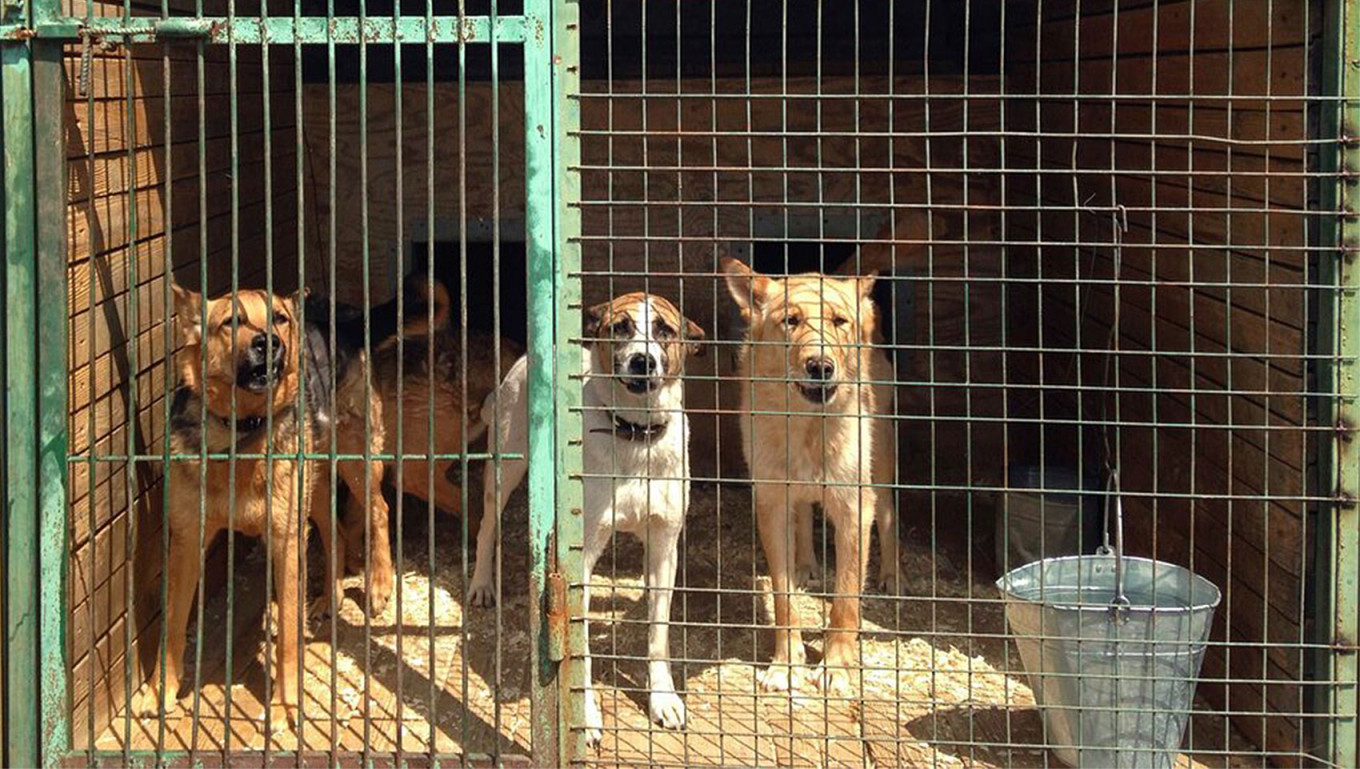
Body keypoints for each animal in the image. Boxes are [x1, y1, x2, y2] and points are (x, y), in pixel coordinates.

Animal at [131, 280, 408, 729]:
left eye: (278, 318)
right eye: (232, 322)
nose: (270, 343)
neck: (242, 432)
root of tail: (344, 317)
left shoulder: (285, 540)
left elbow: (290, 640)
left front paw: (285, 704)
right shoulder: (188, 542)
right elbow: (171, 626)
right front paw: (160, 691)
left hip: (355, 461)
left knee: (379, 511)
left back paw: (381, 583)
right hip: (314, 487)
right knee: (335, 530)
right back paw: (328, 599)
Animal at [470, 291, 707, 740]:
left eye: (664, 330)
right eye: (621, 327)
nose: (643, 361)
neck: (635, 435)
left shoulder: (665, 545)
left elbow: (658, 634)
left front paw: (663, 698)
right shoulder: (578, 558)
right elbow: (579, 646)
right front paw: (587, 715)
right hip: (504, 469)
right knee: (486, 526)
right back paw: (481, 585)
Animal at [723, 259, 903, 696]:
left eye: (839, 322)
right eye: (791, 321)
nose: (820, 366)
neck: (807, 426)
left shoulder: (855, 510)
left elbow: (845, 601)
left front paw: (837, 668)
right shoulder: (771, 504)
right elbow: (784, 599)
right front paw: (785, 666)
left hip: (882, 466)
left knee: (889, 518)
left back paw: (892, 576)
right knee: (804, 514)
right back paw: (806, 565)